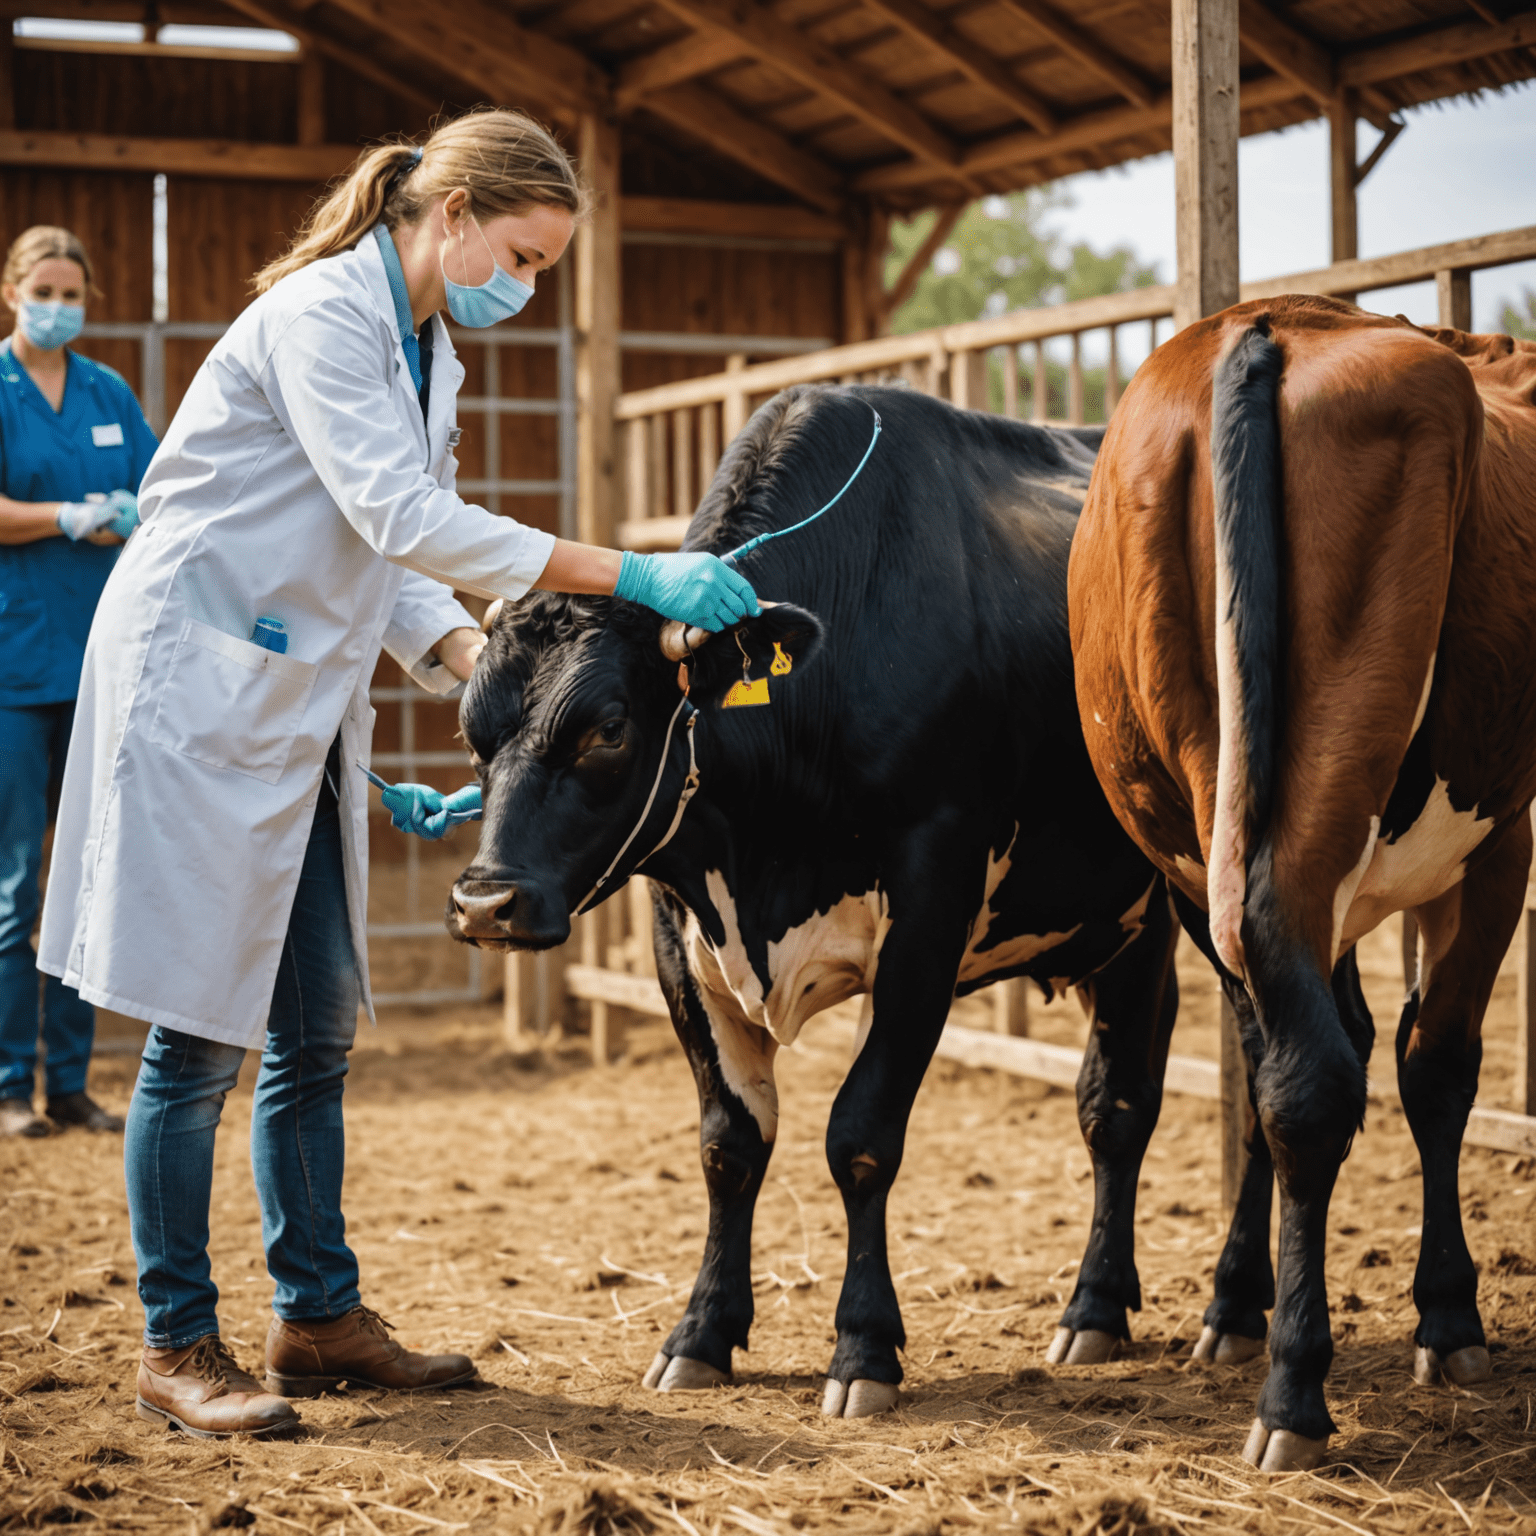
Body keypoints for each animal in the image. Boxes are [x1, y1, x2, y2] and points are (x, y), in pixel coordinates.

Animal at [448, 384, 1191, 1413]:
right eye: (470, 729)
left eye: (608, 727)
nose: (486, 905)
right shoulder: (682, 931)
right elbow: (731, 1141)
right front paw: (702, 1333)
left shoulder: (929, 913)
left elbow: (862, 1134)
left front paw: (864, 1348)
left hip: (1174, 906)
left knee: (1128, 1103)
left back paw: (1117, 1310)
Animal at [1069, 293, 1536, 1468]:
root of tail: (1265, 328)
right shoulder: (1499, 839)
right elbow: (1434, 1066)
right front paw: (1448, 1316)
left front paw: (1238, 1299)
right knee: (1318, 1072)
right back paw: (1294, 1390)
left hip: (1205, 829)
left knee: (1279, 1064)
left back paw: (1245, 1325)